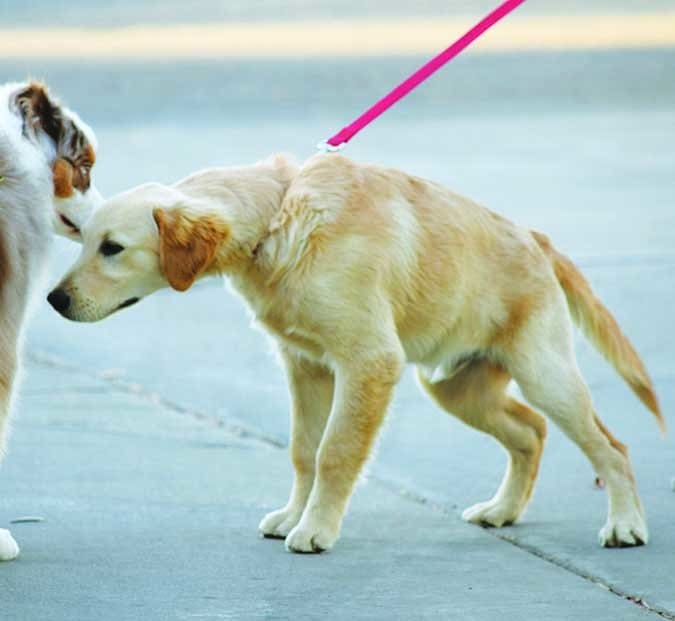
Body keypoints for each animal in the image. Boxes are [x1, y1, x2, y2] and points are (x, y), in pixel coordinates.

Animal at [48, 154, 664, 552]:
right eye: (81, 240)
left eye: (112, 248)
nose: (54, 300)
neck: (279, 217)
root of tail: (536, 239)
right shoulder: (306, 367)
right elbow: (303, 450)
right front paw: (293, 515)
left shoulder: (368, 362)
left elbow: (335, 451)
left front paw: (316, 530)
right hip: (455, 387)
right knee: (531, 432)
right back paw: (503, 510)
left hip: (544, 373)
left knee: (611, 446)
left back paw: (625, 525)